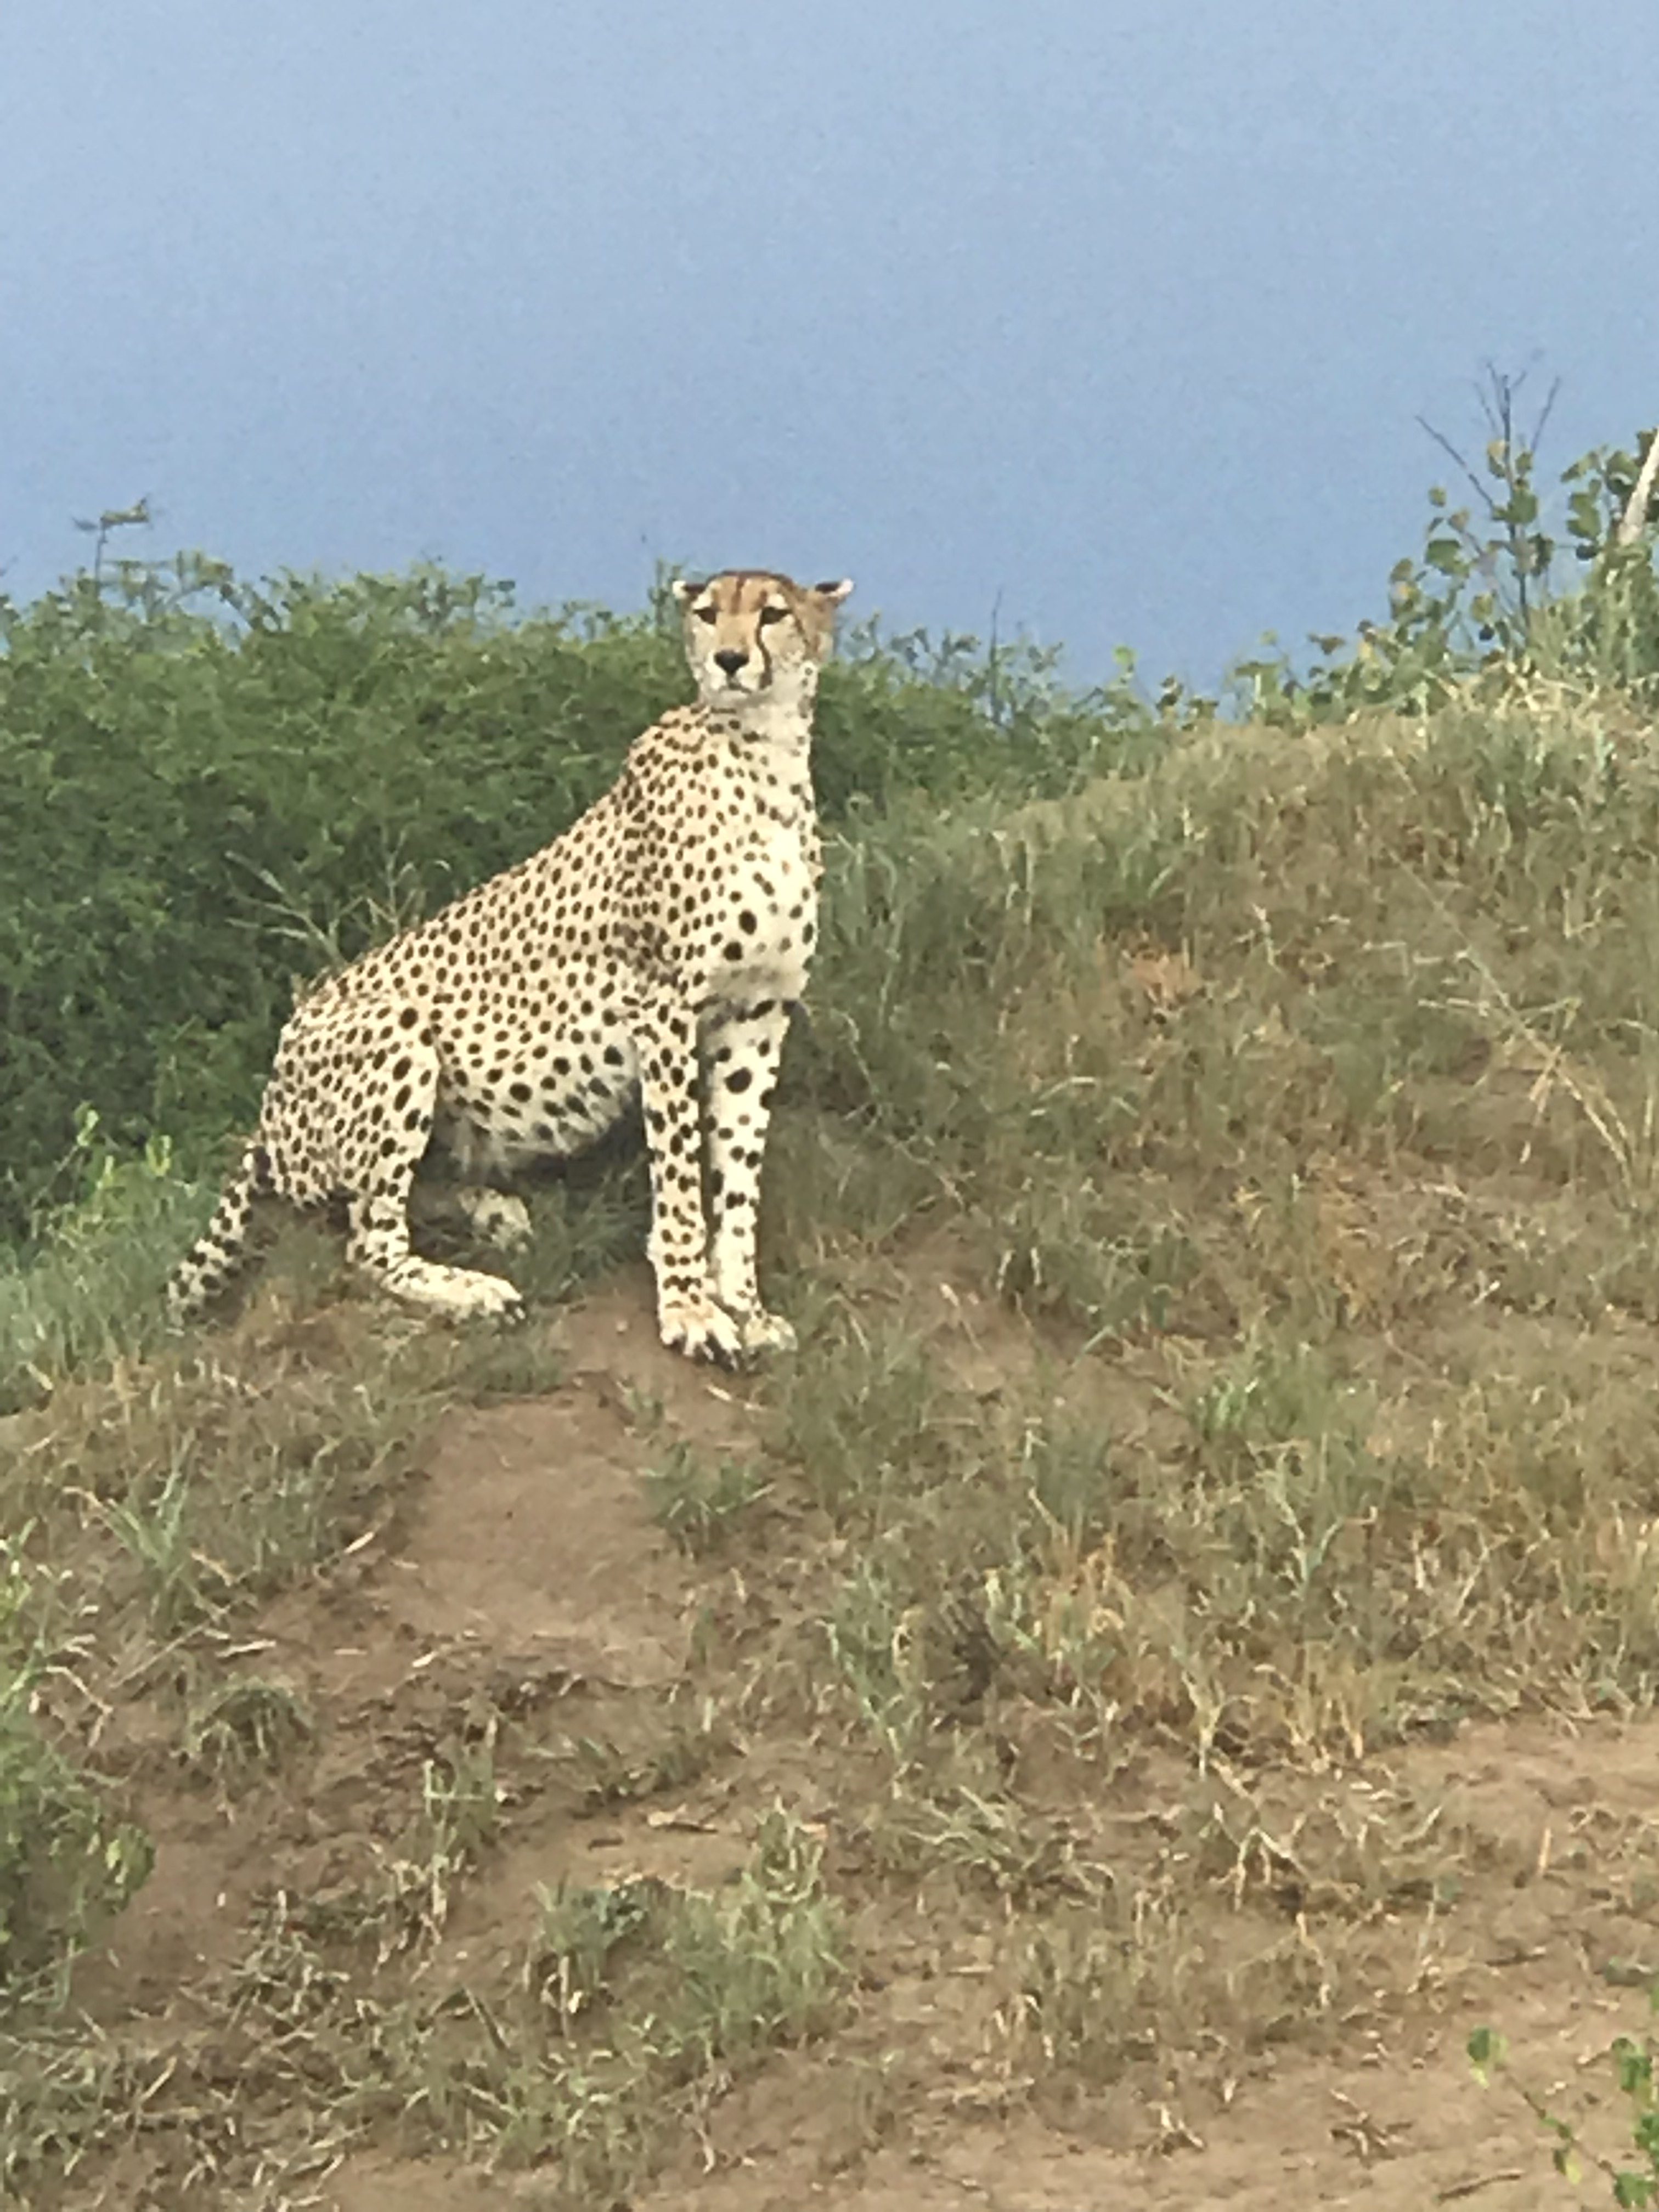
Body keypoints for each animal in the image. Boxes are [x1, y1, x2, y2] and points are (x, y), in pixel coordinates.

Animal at [169, 571, 858, 1362]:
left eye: (773, 614)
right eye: (709, 613)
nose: (730, 661)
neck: (765, 757)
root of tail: (268, 1105)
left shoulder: (758, 1012)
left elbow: (739, 1172)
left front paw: (743, 1303)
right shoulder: (665, 1005)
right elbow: (682, 1170)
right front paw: (690, 1309)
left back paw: (493, 1213)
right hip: (397, 1031)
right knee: (368, 1242)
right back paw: (471, 1291)